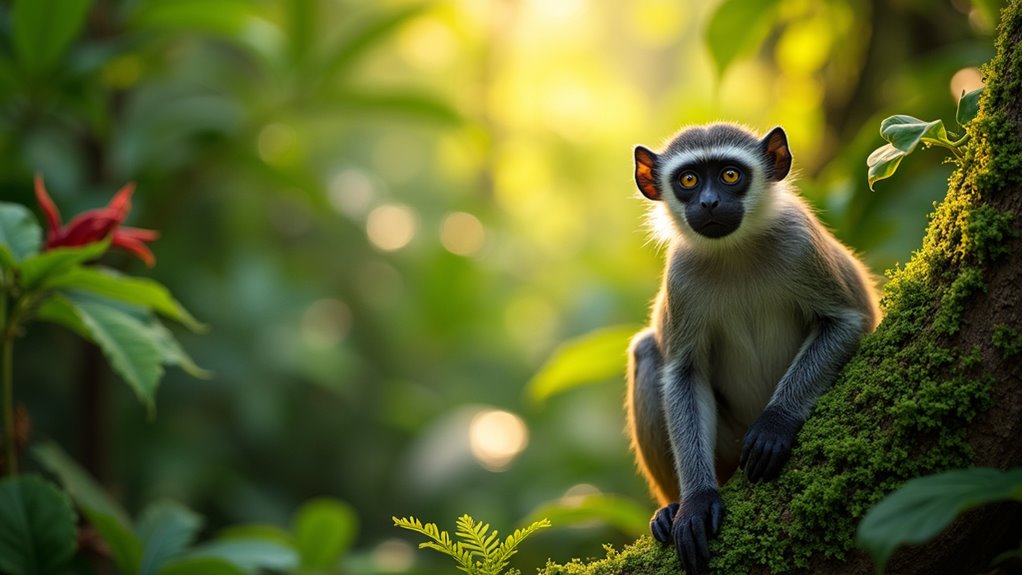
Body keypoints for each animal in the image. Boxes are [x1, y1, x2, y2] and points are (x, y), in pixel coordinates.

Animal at [626, 123, 879, 574]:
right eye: (689, 180)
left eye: (730, 175)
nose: (709, 202)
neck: (734, 253)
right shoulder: (681, 278)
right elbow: (684, 373)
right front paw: (695, 501)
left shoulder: (800, 244)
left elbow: (846, 323)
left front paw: (775, 423)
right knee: (649, 353)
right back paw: (671, 507)